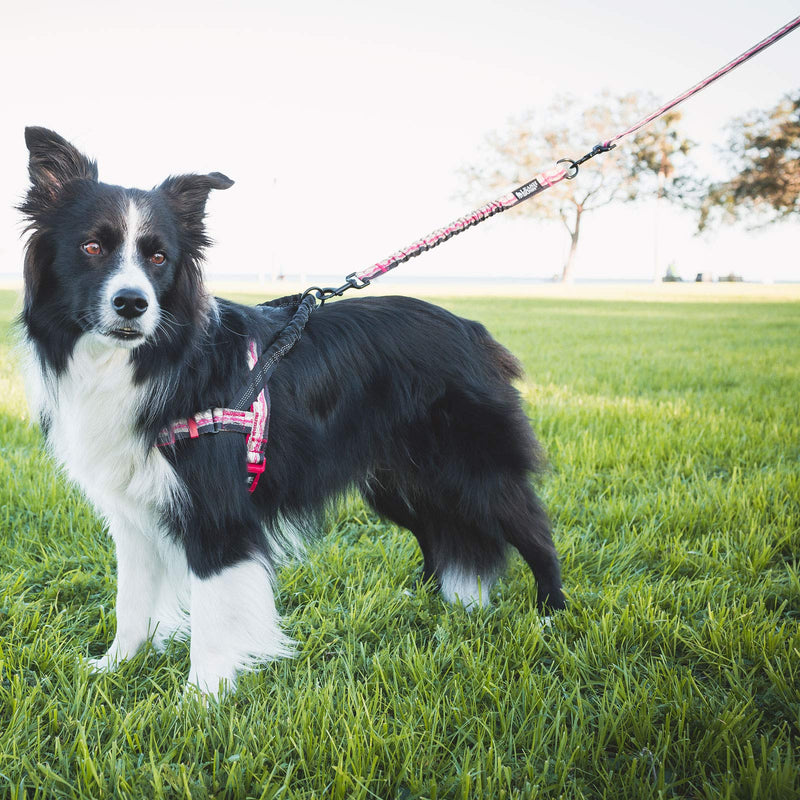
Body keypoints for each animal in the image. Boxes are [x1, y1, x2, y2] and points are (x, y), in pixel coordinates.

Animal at [15, 128, 564, 696]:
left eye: (159, 258)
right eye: (92, 248)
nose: (132, 303)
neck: (154, 361)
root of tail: (472, 330)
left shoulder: (219, 510)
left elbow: (213, 610)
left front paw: (201, 697)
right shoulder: (136, 512)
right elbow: (132, 599)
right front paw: (116, 666)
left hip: (472, 468)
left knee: (533, 530)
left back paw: (551, 615)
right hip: (399, 479)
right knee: (437, 533)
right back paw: (425, 601)